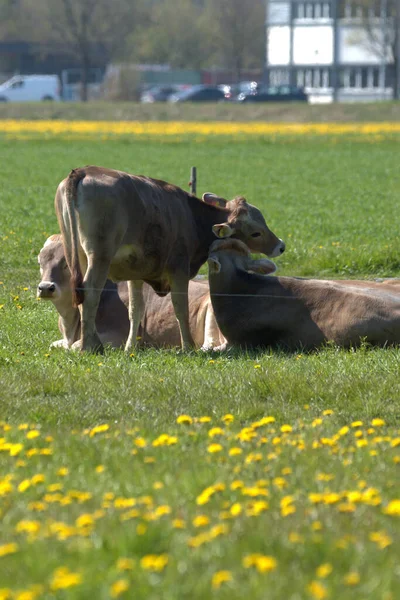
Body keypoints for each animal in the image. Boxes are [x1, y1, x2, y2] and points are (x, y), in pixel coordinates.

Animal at [36, 232, 225, 350]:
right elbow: (55, 345)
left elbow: (76, 347)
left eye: (66, 263)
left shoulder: (117, 336)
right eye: (40, 261)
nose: (45, 287)